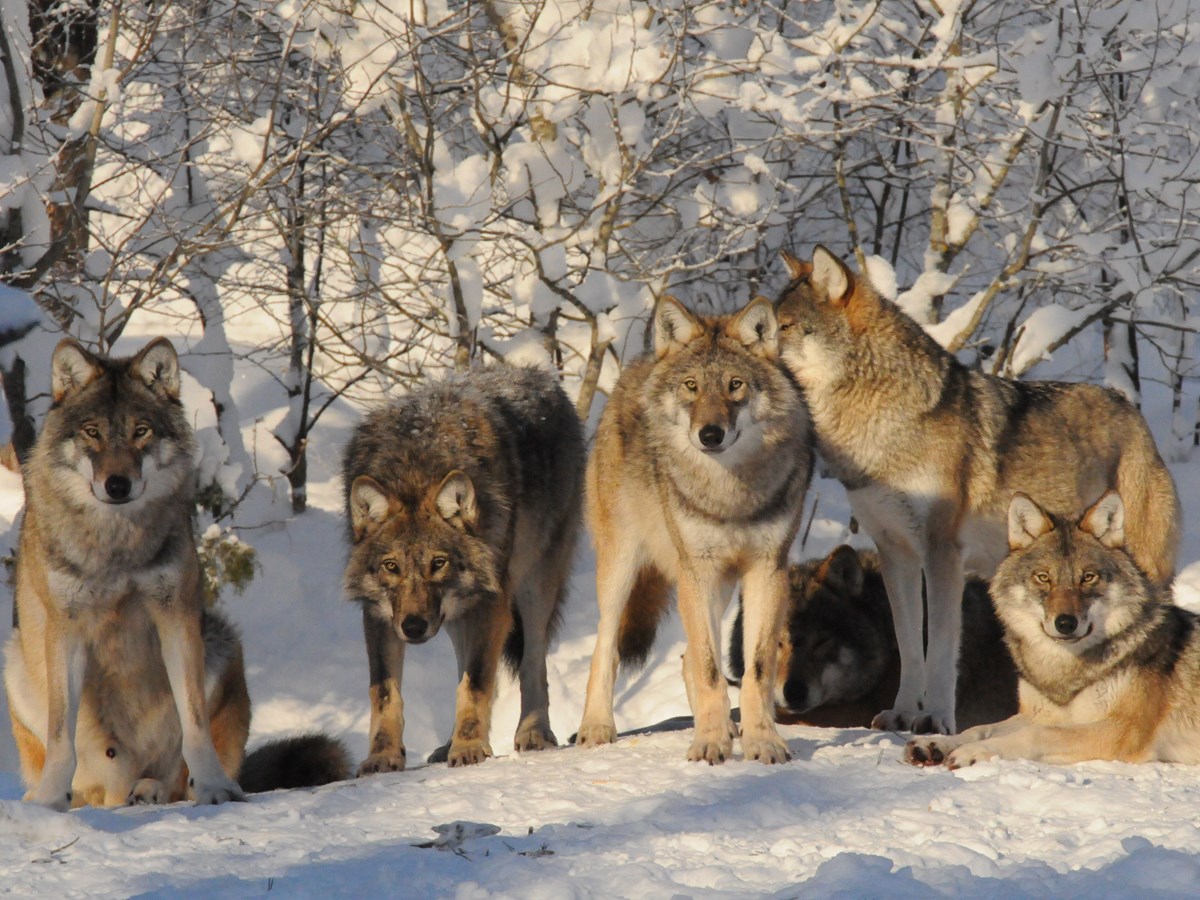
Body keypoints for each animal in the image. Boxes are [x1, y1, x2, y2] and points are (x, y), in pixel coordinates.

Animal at [3, 336, 350, 811]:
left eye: (141, 431)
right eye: (93, 432)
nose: (117, 485)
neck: (117, 542)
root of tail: (116, 789)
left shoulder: (177, 616)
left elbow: (195, 723)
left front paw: (216, 787)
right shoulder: (65, 627)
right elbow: (60, 736)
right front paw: (50, 799)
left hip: (221, 641)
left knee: (174, 782)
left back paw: (150, 790)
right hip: (15, 662)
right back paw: (63, 797)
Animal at [340, 367, 583, 777]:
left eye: (438, 563)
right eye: (391, 567)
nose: (413, 627)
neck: (415, 467)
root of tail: (540, 376)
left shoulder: (492, 602)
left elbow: (476, 683)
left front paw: (469, 748)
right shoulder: (378, 614)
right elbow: (385, 693)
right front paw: (383, 756)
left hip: (533, 590)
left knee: (533, 665)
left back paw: (533, 733)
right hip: (456, 616)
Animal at [576, 300, 811, 763]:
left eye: (735, 385)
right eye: (691, 386)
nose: (710, 434)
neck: (728, 493)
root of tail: (636, 368)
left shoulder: (767, 570)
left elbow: (755, 670)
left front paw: (761, 740)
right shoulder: (695, 570)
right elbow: (709, 668)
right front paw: (709, 742)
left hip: (719, 585)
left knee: (685, 658)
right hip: (622, 569)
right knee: (606, 649)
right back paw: (596, 727)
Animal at [777, 247, 1180, 739]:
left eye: (783, 326)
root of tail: (1132, 408)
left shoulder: (941, 554)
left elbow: (940, 647)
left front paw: (935, 719)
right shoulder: (895, 553)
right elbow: (909, 646)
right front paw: (902, 715)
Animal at [902, 489, 1200, 772]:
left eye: (1088, 577)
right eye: (1043, 577)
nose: (1065, 623)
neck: (1062, 673)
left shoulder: (1121, 731)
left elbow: (1036, 735)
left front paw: (973, 752)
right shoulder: (1037, 714)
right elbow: (980, 728)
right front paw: (936, 743)